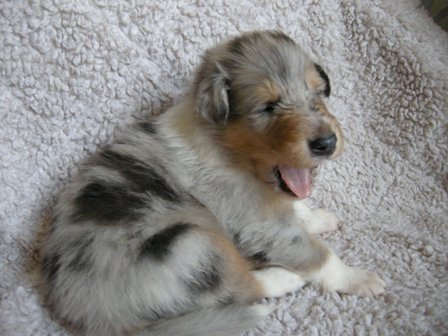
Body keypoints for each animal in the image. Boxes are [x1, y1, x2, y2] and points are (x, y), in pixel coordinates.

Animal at [41, 31, 384, 336]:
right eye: (268, 106)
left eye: (317, 93)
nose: (327, 143)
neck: (229, 150)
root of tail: (91, 317)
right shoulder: (260, 225)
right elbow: (318, 254)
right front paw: (359, 279)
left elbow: (296, 208)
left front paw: (319, 218)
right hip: (193, 245)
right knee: (243, 287)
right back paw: (284, 278)